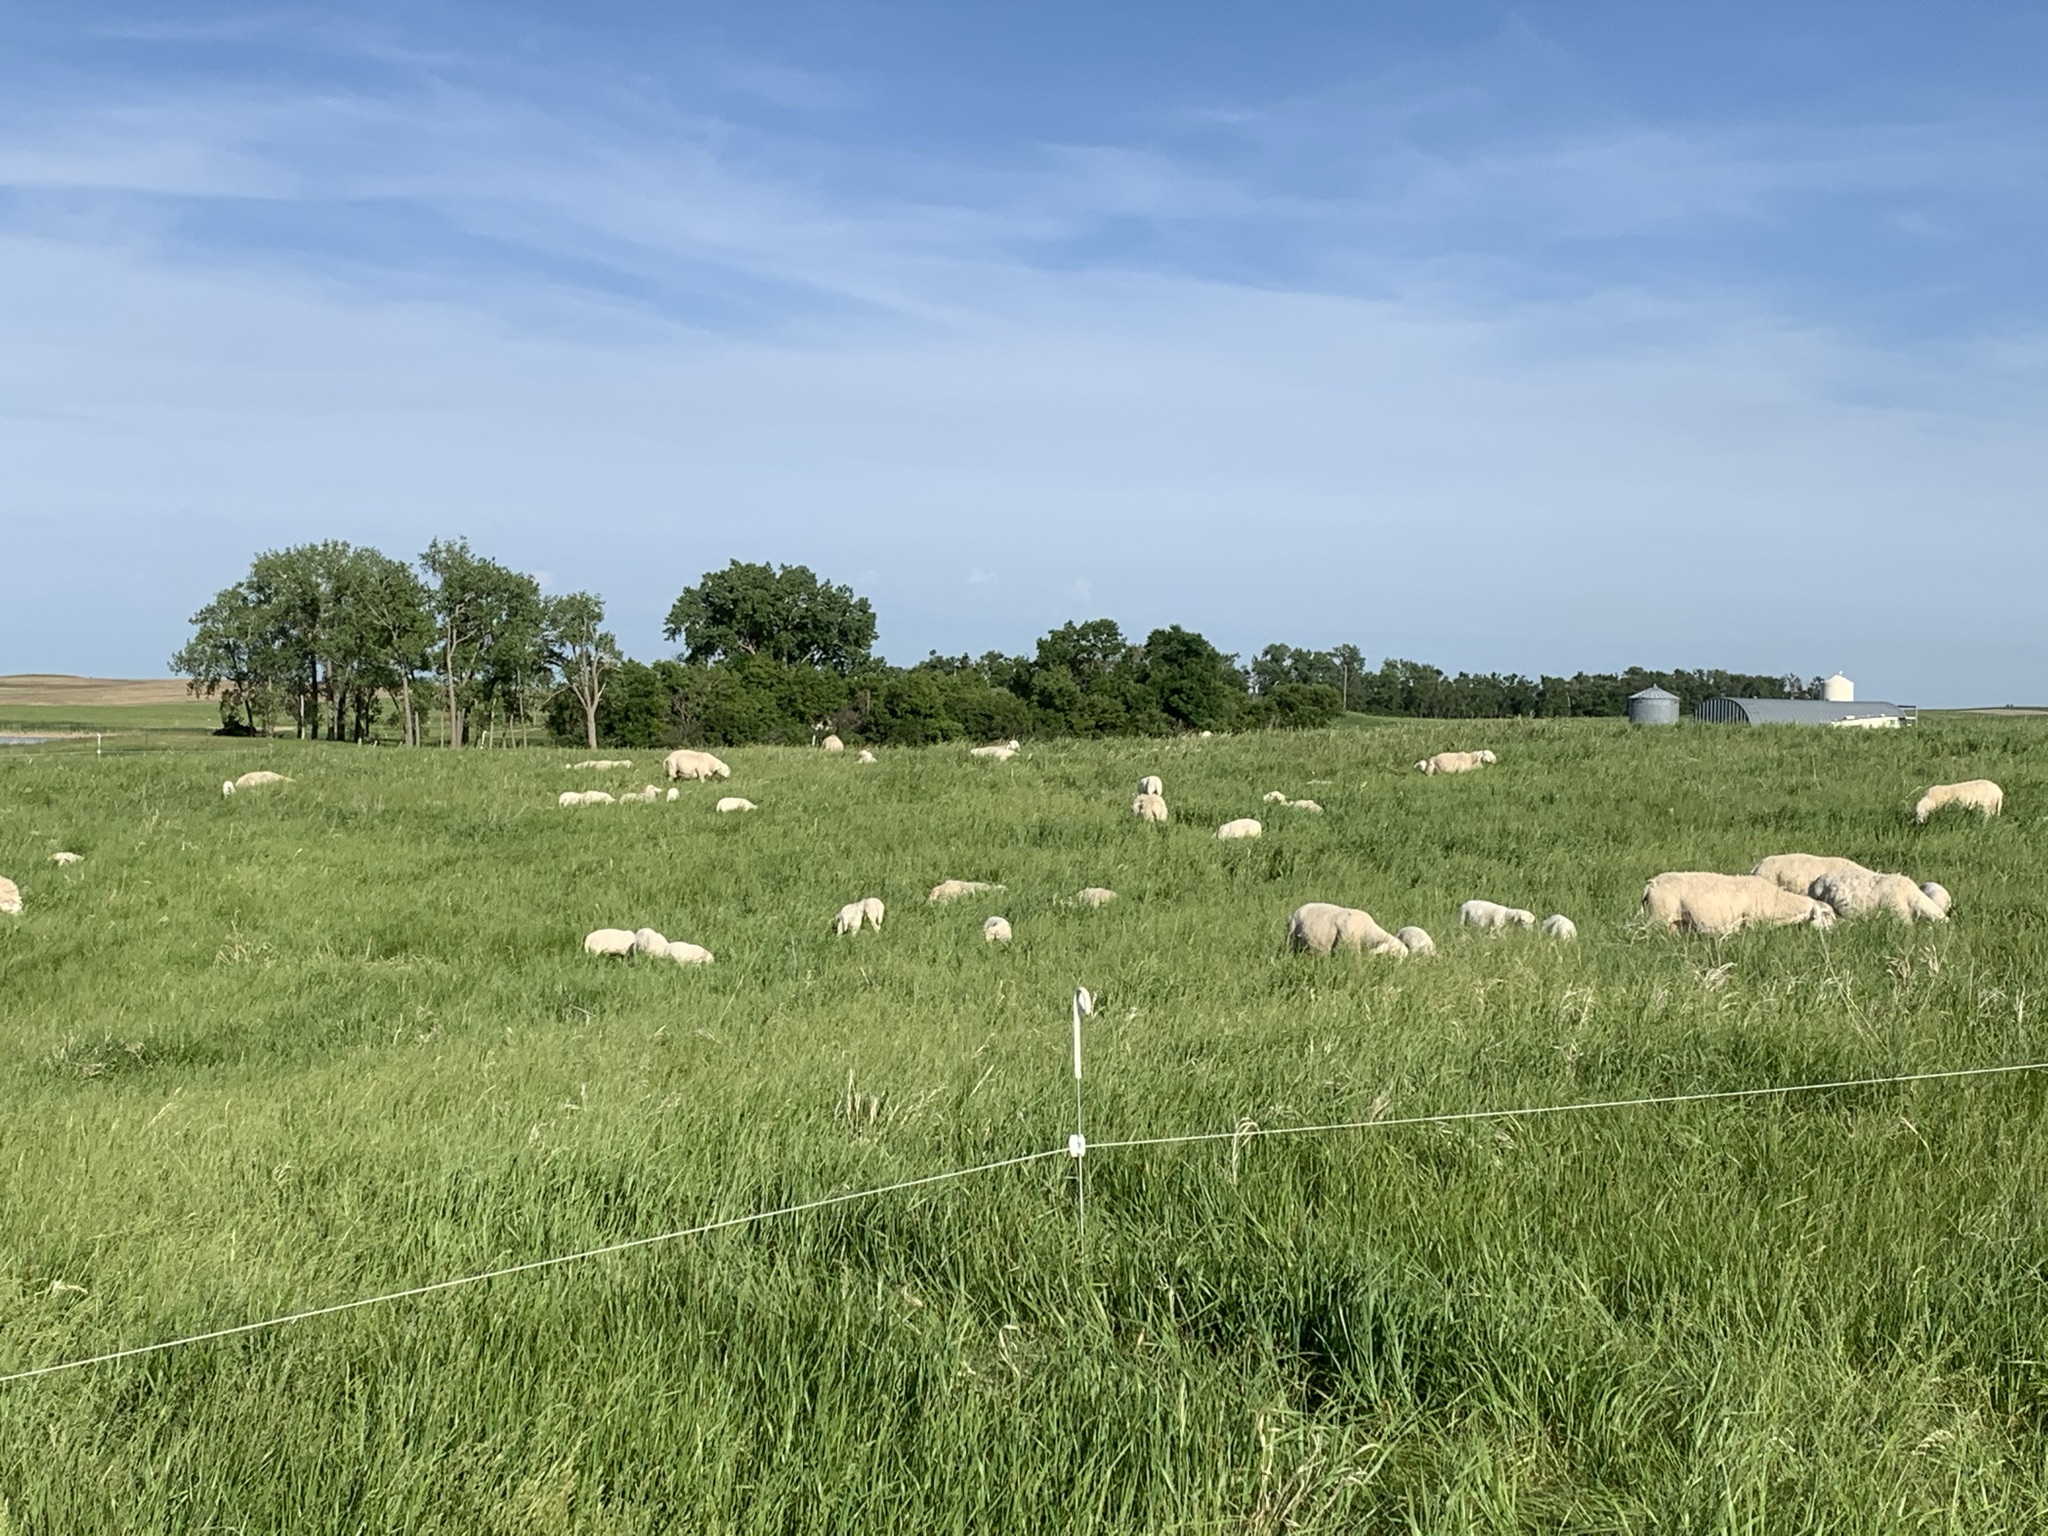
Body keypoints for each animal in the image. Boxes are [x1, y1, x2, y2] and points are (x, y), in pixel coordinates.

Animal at [1638, 876, 1835, 937]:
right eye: (1827, 914)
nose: (1835, 933)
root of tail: (1651, 883)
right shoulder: (1752, 922)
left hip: (1674, 922)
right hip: (1658, 916)